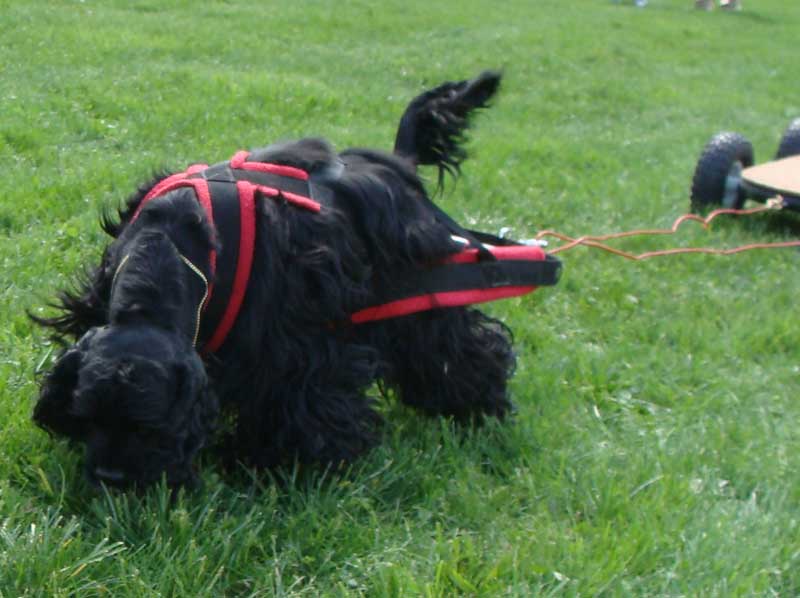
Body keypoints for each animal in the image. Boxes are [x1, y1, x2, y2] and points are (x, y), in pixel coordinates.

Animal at [32, 71, 556, 492]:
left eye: (150, 426)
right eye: (86, 415)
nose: (110, 477)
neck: (171, 241)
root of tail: (399, 166)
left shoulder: (293, 348)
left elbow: (300, 400)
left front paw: (274, 463)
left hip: (423, 295)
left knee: (459, 348)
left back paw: (479, 409)